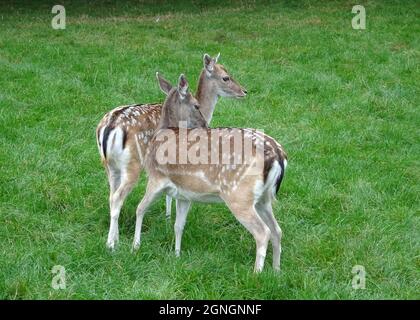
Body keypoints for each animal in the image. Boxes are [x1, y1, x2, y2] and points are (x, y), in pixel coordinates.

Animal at [95, 53, 246, 250]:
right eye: (225, 77)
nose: (244, 91)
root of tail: (108, 126)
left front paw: (168, 218)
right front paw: (169, 218)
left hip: (110, 166)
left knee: (111, 195)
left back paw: (115, 238)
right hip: (132, 164)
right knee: (118, 197)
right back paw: (112, 244)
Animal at [133, 74, 288, 272]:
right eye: (196, 105)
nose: (205, 125)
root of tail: (278, 155)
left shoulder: (156, 177)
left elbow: (140, 208)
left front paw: (135, 246)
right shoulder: (184, 194)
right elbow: (178, 225)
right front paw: (176, 255)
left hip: (239, 195)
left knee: (263, 232)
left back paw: (256, 273)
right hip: (263, 198)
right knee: (277, 230)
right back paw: (276, 270)